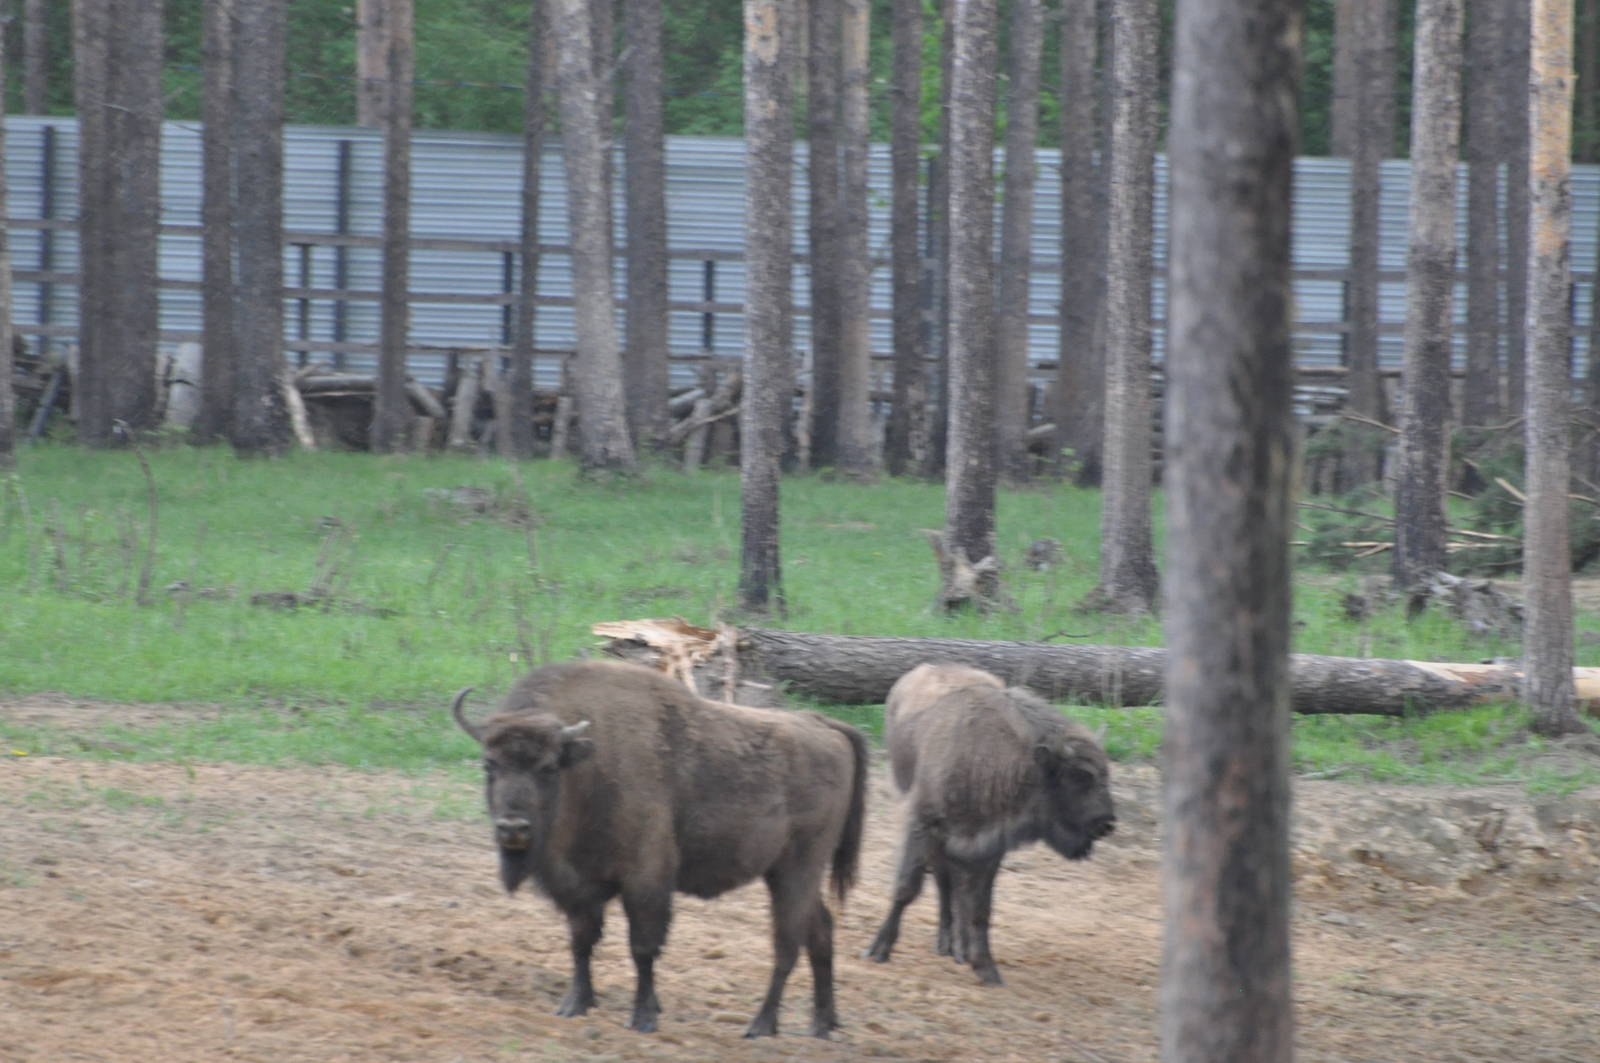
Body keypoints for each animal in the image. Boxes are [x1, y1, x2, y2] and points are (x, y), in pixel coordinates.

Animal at [450, 659, 869, 1038]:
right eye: (489, 765)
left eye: (549, 767)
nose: (513, 828)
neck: (589, 766)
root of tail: (825, 726)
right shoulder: (580, 889)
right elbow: (581, 943)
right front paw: (574, 1005)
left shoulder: (645, 880)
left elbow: (643, 947)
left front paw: (644, 1018)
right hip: (789, 873)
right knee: (820, 931)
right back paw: (822, 1024)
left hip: (797, 869)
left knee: (787, 943)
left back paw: (761, 1026)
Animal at [865, 663, 1115, 985]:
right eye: (1079, 776)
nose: (1106, 823)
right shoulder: (923, 825)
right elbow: (906, 887)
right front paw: (877, 951)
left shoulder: (990, 847)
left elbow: (980, 908)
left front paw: (986, 968)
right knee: (944, 882)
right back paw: (948, 945)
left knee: (954, 888)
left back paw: (958, 948)